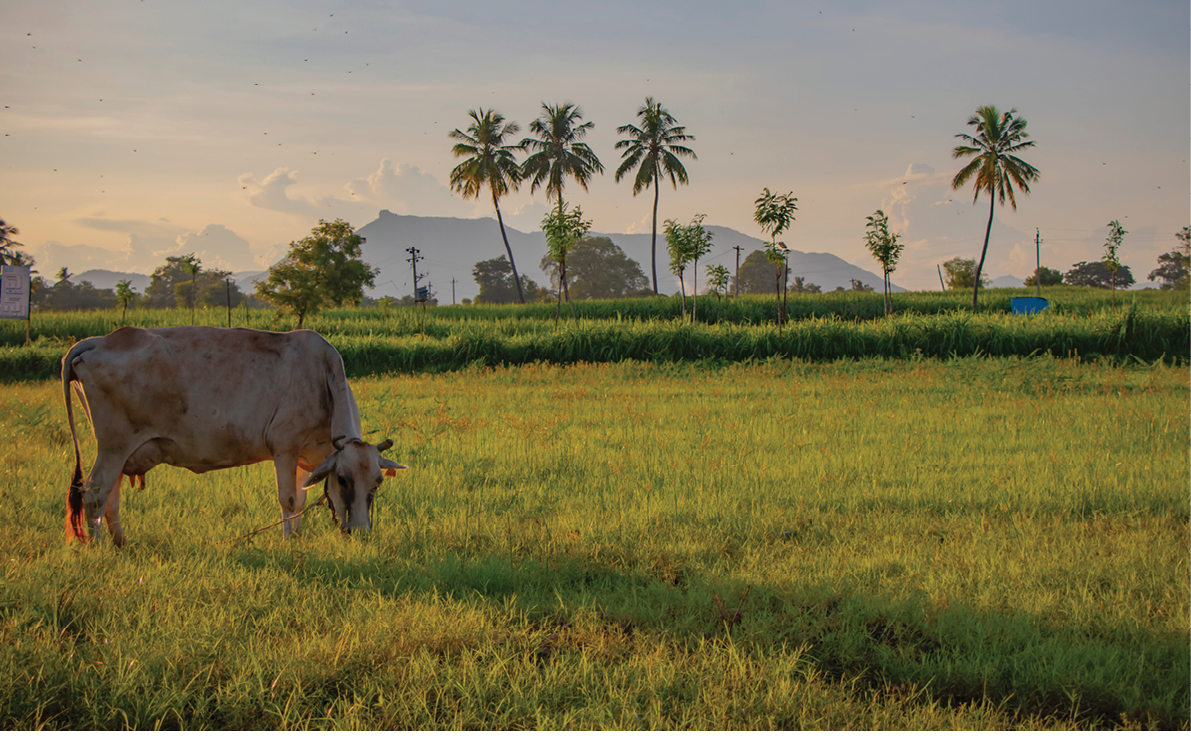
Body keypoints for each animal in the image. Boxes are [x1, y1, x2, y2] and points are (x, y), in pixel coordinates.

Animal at [62, 326, 407, 546]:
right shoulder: (284, 447)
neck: (323, 377)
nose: (361, 532)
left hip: (122, 453)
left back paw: (121, 542)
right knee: (94, 493)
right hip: (113, 446)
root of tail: (100, 340)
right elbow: (288, 498)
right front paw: (287, 541)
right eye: (344, 480)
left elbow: (301, 498)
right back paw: (98, 546)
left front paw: (296, 536)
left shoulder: (302, 457)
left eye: (377, 482)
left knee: (111, 497)